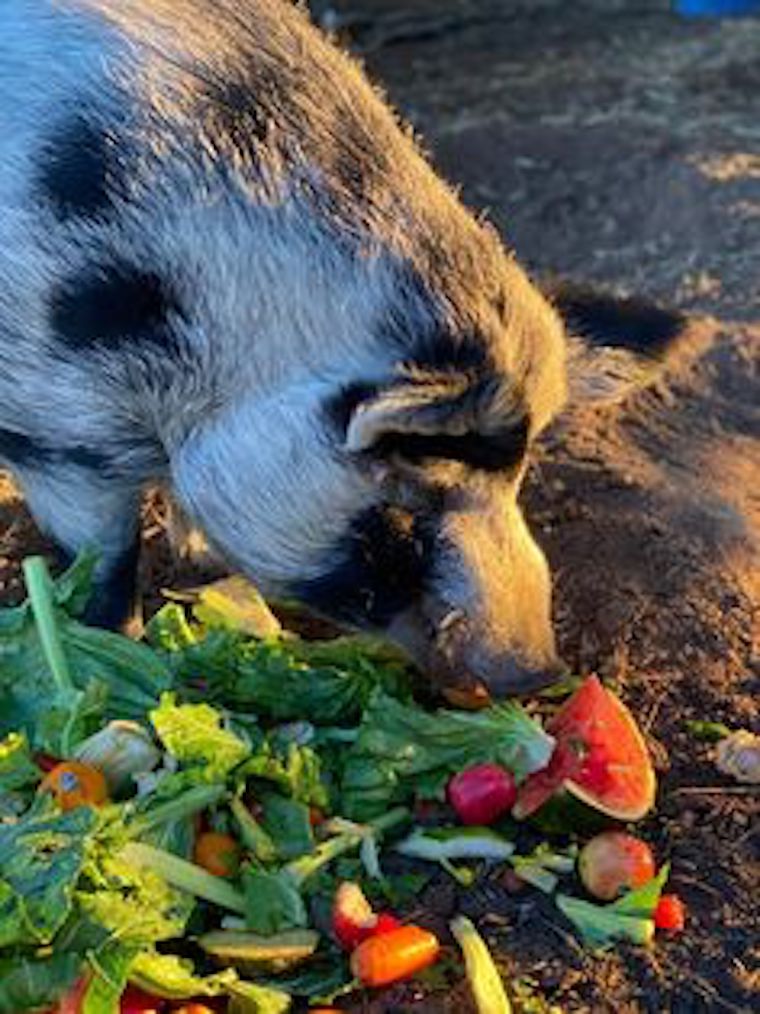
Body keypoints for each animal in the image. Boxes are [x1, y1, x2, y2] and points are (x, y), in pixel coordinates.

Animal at [0, 0, 684, 696]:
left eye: (519, 481)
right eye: (404, 517)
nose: (535, 672)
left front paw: (198, 563)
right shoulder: (58, 430)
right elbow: (104, 557)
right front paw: (119, 652)